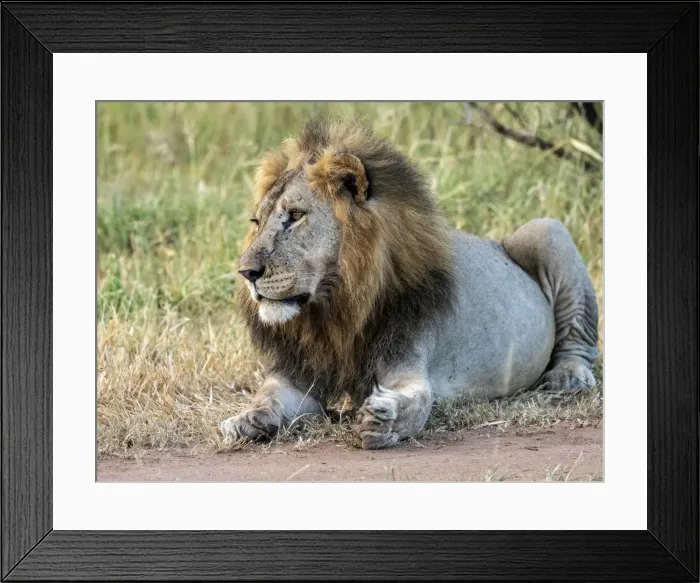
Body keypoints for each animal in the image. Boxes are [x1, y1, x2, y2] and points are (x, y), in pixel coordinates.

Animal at [220, 118, 599, 449]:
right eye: (257, 221)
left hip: (547, 229)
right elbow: (268, 395)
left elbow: (417, 402)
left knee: (580, 338)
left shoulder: (409, 362)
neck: (337, 311)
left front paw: (382, 420)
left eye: (295, 216)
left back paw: (569, 376)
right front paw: (244, 420)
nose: (246, 272)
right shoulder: (298, 374)